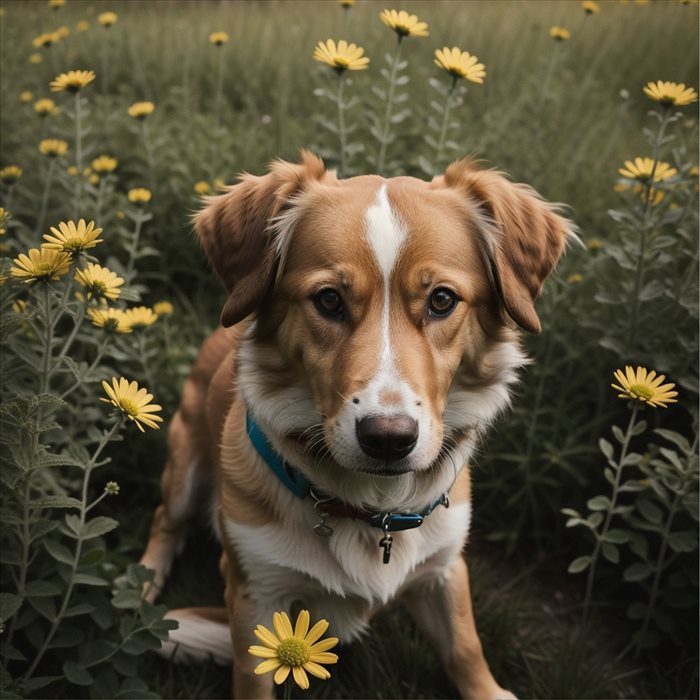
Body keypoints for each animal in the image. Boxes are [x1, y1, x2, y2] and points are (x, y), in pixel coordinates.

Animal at [139, 150, 572, 696]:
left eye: (442, 300)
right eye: (328, 299)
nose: (388, 440)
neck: (373, 510)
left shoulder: (445, 568)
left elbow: (466, 649)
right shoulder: (255, 592)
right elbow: (253, 676)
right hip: (185, 466)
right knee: (165, 518)